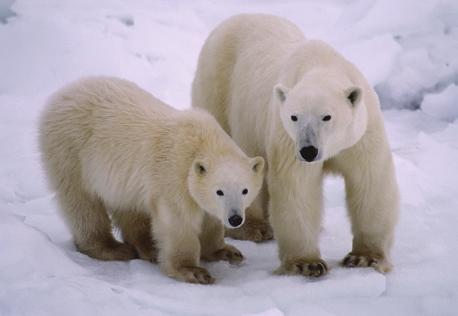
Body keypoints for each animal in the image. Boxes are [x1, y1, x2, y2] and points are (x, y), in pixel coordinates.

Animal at [41, 76, 266, 284]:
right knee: (83, 205)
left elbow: (210, 220)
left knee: (128, 207)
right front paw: (194, 271)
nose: (235, 218)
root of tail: (61, 94)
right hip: (71, 152)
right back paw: (113, 248)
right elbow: (178, 223)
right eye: (219, 191)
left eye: (245, 190)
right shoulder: (174, 175)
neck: (203, 142)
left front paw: (227, 252)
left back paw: (147, 246)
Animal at [191, 14, 398, 276]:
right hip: (217, 88)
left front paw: (365, 258)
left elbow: (370, 182)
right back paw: (254, 227)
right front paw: (307, 263)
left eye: (326, 116)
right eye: (294, 117)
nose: (308, 151)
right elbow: (297, 188)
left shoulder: (362, 134)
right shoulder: (287, 139)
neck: (323, 65)